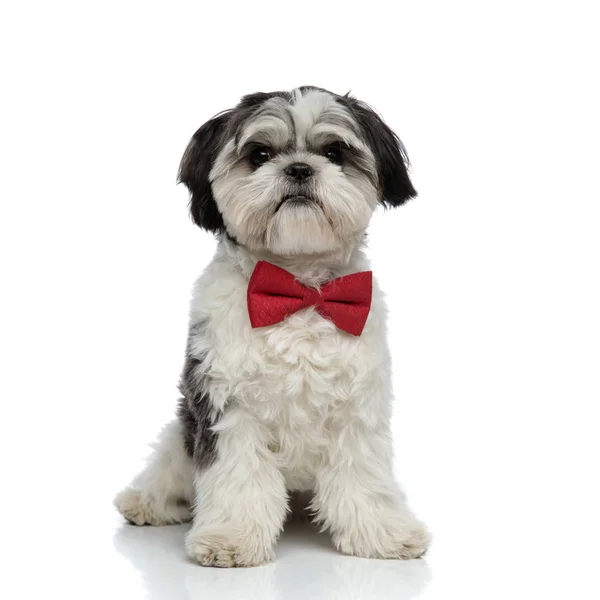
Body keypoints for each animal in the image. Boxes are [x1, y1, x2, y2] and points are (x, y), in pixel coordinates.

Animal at [115, 85, 428, 568]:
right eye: (259, 154)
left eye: (334, 152)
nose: (299, 168)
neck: (298, 291)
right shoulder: (227, 407)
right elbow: (237, 477)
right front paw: (231, 538)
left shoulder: (358, 408)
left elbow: (363, 474)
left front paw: (382, 533)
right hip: (182, 432)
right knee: (168, 467)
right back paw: (147, 502)